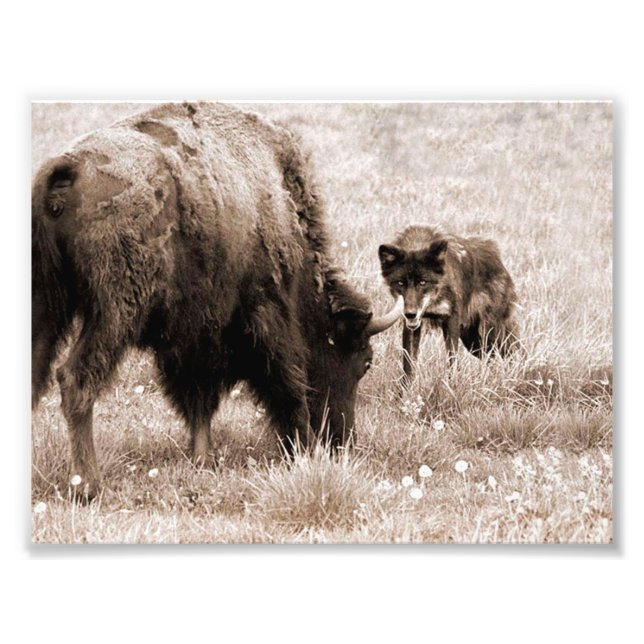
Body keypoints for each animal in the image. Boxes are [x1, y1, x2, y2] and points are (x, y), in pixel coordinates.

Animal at [379, 225, 520, 380]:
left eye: (422, 282)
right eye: (400, 283)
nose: (410, 313)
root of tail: (497, 256)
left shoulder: (451, 320)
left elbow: (453, 360)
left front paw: (452, 384)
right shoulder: (412, 326)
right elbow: (408, 365)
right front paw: (406, 387)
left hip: (490, 333)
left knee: (511, 353)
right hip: (472, 340)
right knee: (490, 357)